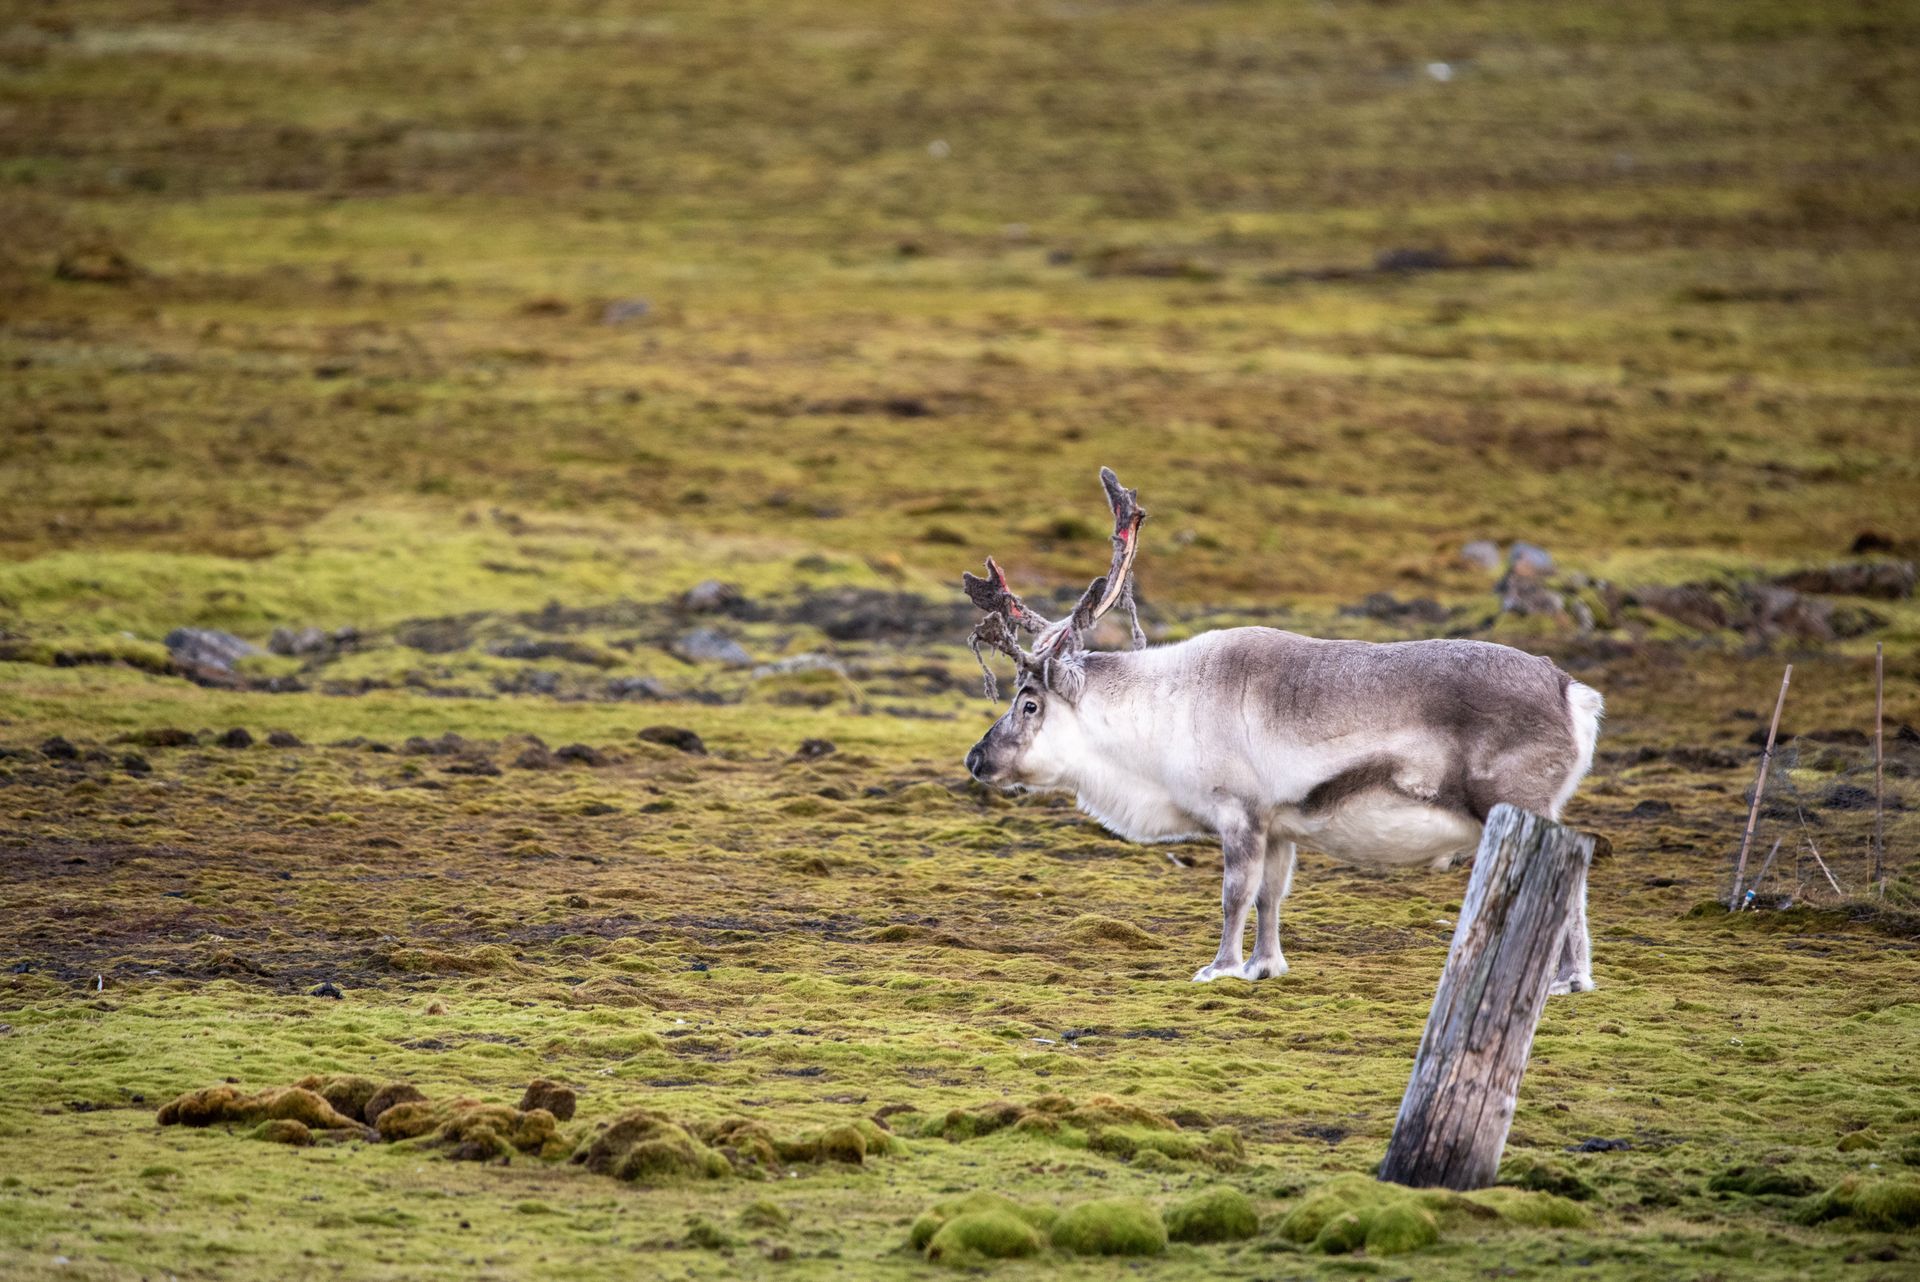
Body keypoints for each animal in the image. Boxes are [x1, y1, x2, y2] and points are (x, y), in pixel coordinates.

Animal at [961, 468, 1604, 993]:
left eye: (1028, 704)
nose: (975, 759)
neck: (1162, 716)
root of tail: (1573, 692)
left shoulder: (1238, 811)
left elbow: (1234, 895)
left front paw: (1219, 968)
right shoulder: (1279, 825)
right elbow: (1271, 896)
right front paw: (1264, 966)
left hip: (1520, 801)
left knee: (1569, 885)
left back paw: (1569, 979)